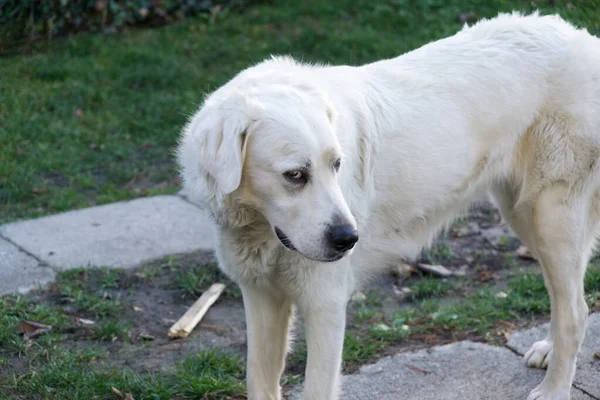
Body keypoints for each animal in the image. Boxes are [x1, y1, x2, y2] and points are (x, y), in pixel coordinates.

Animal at [176, 12, 596, 400]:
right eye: (294, 175)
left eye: (337, 165)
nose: (349, 239)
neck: (260, 227)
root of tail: (583, 38)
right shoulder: (260, 296)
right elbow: (259, 380)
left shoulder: (325, 305)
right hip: (523, 215)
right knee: (565, 296)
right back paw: (548, 351)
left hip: (551, 217)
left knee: (576, 311)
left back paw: (554, 388)